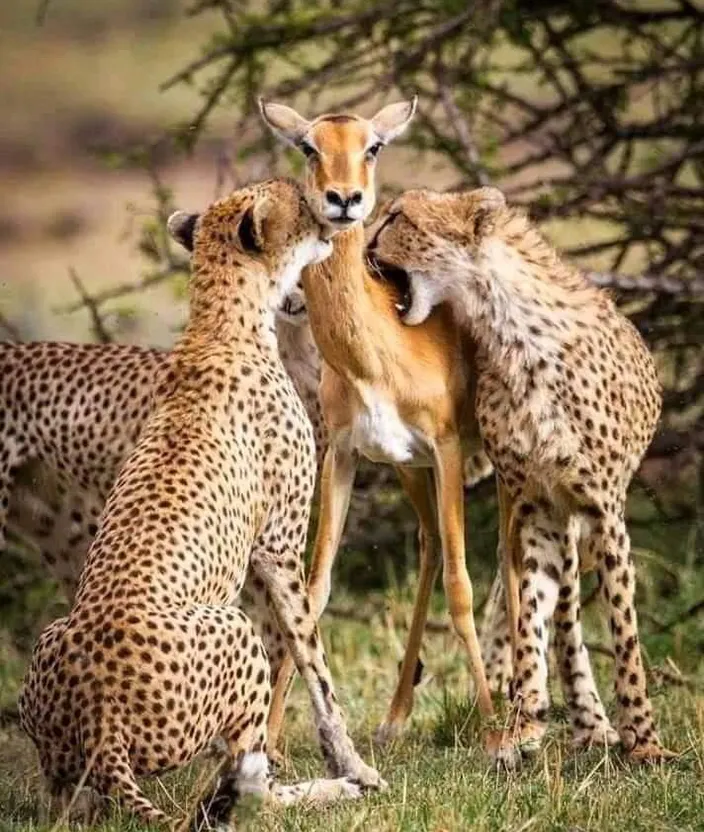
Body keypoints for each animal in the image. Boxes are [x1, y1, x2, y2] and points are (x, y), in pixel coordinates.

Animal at [19, 177, 382, 824]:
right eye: (300, 205)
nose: (335, 214)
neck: (219, 323)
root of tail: (102, 722)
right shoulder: (279, 547)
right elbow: (313, 655)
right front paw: (356, 766)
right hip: (231, 626)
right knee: (253, 797)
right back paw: (326, 790)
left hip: (52, 652)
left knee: (65, 804)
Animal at [366, 185, 672, 764]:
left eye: (398, 217)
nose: (362, 241)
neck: (509, 331)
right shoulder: (538, 506)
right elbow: (531, 610)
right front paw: (524, 716)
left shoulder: (603, 510)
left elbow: (623, 629)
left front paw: (644, 741)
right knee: (566, 615)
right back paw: (584, 722)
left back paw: (597, 725)